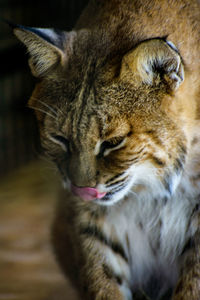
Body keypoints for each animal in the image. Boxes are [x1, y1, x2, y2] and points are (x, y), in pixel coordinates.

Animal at [12, 0, 200, 300]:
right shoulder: (91, 216)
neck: (153, 192)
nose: (81, 190)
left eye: (113, 142)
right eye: (60, 138)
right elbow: (101, 276)